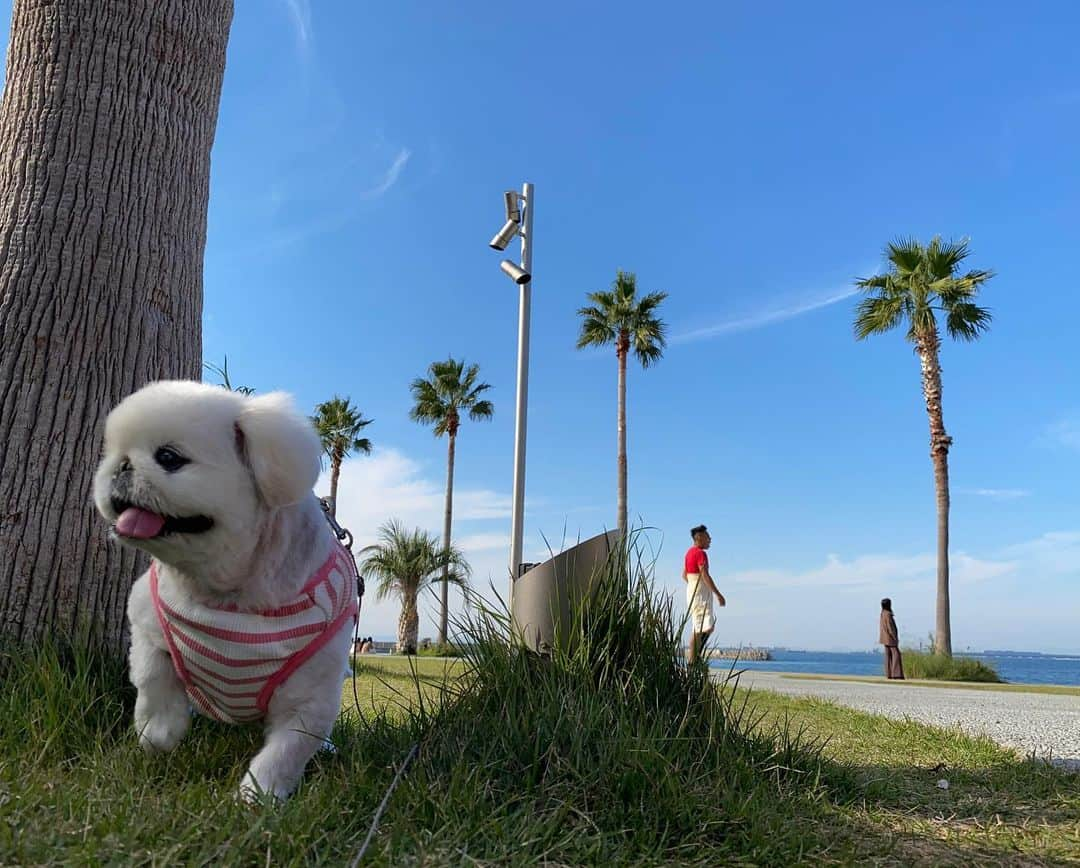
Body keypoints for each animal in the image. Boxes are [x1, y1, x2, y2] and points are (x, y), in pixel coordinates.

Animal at [92, 382, 354, 803]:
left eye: (168, 458)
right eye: (111, 454)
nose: (122, 466)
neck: (223, 591)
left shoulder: (309, 698)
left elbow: (285, 751)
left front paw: (257, 797)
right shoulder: (148, 624)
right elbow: (153, 682)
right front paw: (159, 736)